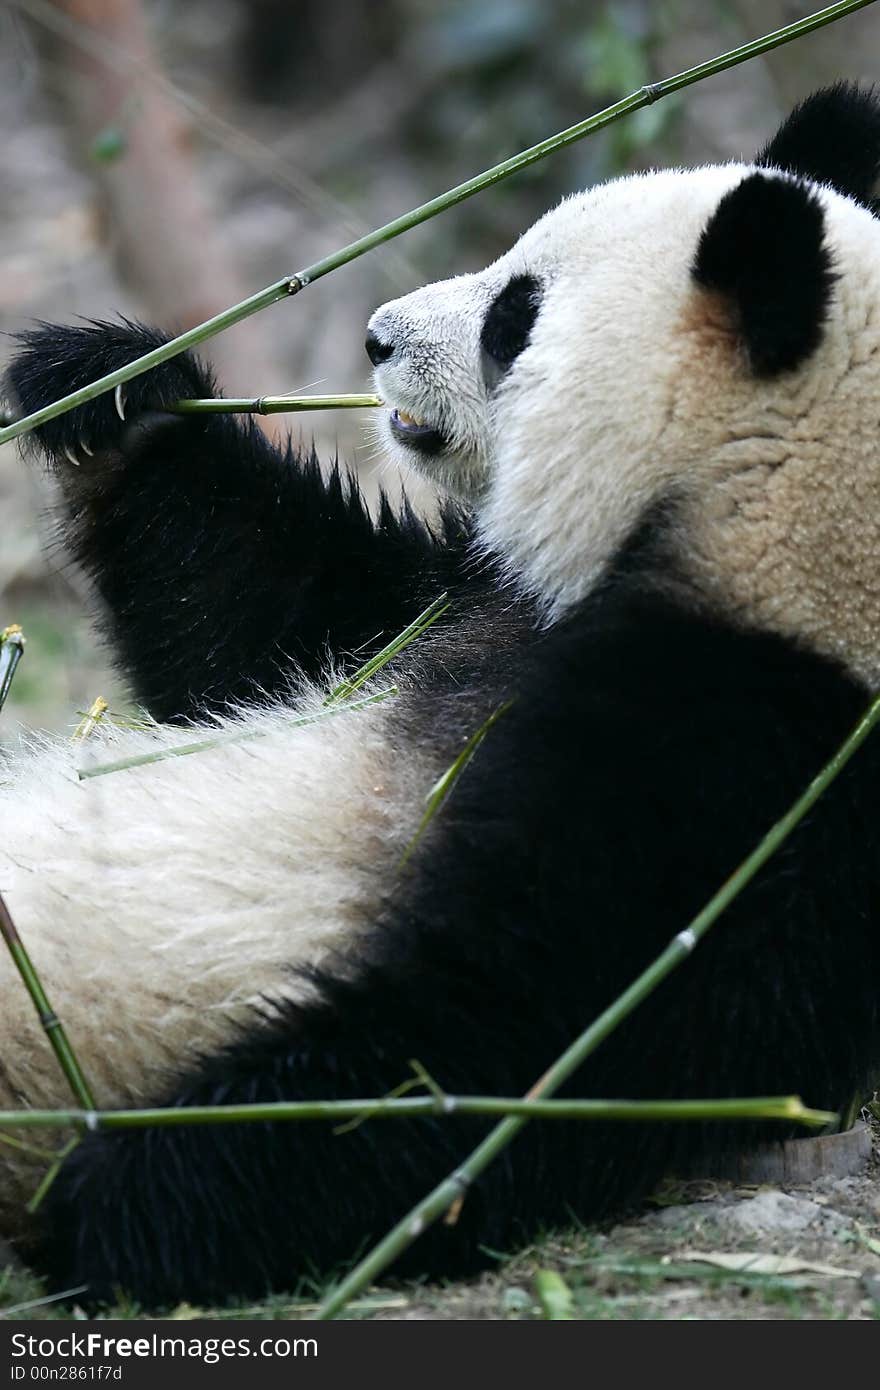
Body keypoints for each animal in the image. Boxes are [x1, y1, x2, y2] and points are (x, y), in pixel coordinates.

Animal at [1, 81, 878, 1306]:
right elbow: (282, 621)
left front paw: (117, 1195)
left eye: (515, 314)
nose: (373, 336)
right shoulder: (475, 605)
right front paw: (115, 394)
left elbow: (524, 1019)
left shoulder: (756, 756)